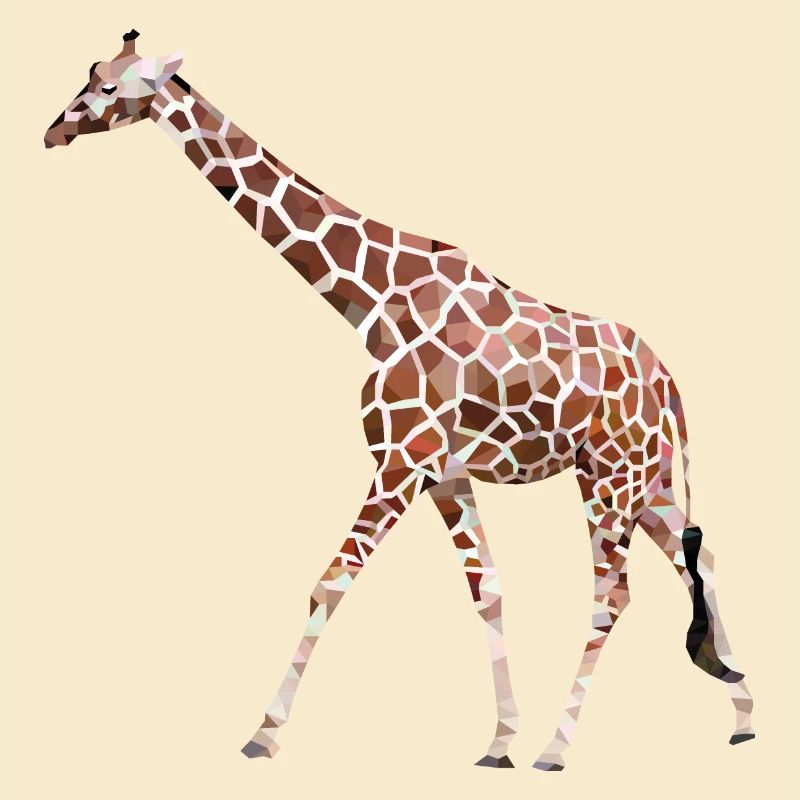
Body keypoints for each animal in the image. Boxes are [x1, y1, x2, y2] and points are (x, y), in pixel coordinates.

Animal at [44, 31, 755, 771]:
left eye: (112, 86)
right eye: (89, 72)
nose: (52, 131)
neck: (375, 301)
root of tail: (669, 382)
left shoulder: (399, 461)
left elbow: (329, 580)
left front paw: (263, 733)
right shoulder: (443, 474)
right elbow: (487, 591)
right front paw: (499, 741)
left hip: (612, 477)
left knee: (611, 594)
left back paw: (558, 750)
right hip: (644, 479)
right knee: (698, 561)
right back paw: (742, 716)